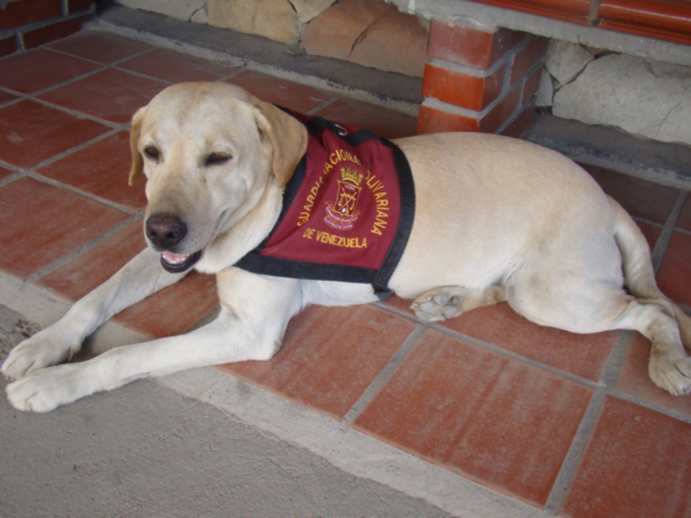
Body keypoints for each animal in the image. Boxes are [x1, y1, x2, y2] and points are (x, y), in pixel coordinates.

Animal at [3, 82, 690, 412]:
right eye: (150, 153)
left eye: (218, 158)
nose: (162, 229)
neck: (275, 203)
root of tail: (607, 197)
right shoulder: (171, 258)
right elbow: (92, 299)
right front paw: (41, 347)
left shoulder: (248, 329)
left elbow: (128, 355)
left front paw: (56, 385)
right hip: (528, 288)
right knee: (499, 289)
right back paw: (446, 300)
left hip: (552, 294)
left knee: (649, 312)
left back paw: (668, 361)